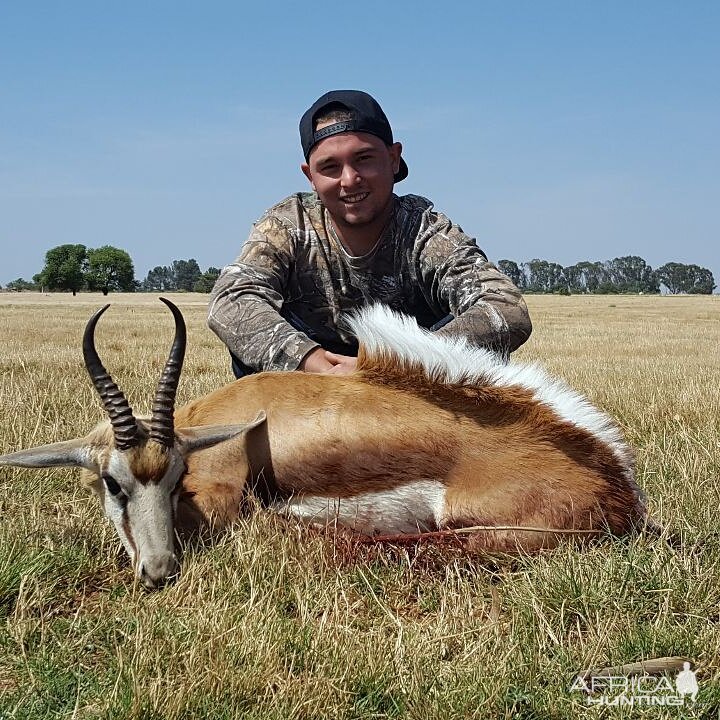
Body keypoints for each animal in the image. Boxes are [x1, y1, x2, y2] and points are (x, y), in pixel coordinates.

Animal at [0, 298, 648, 584]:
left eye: (176, 476)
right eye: (113, 483)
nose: (159, 572)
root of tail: (617, 486)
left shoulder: (221, 504)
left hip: (472, 534)